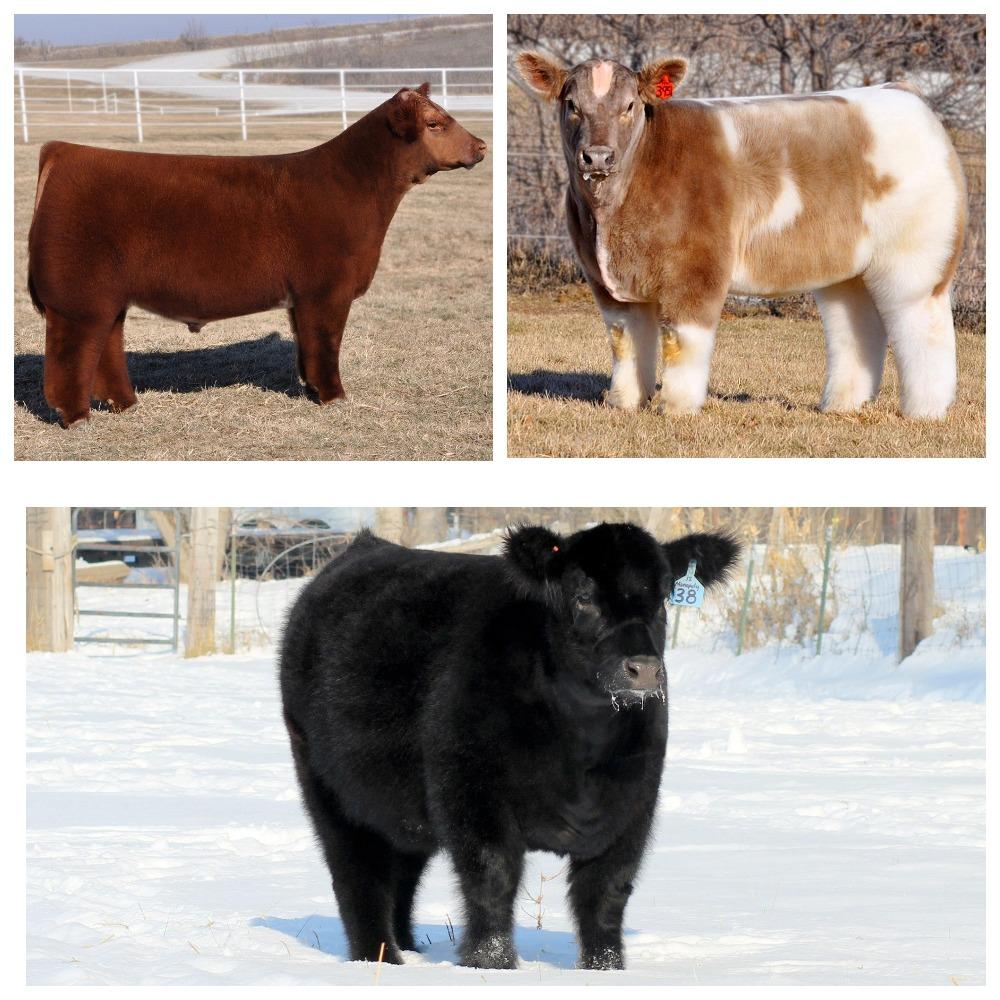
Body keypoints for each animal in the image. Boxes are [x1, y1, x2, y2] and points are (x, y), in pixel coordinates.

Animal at [27, 84, 486, 427]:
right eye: (434, 123)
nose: (482, 146)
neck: (352, 185)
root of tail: (64, 151)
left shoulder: (302, 299)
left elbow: (306, 348)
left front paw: (311, 391)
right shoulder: (325, 292)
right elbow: (325, 345)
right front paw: (335, 397)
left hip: (107, 298)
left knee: (106, 346)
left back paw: (126, 404)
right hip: (78, 298)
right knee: (70, 357)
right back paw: (77, 418)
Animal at [279, 522, 740, 970]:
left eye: (662, 600)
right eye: (583, 597)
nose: (642, 669)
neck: (581, 747)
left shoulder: (633, 809)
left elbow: (605, 894)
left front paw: (606, 969)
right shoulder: (473, 796)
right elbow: (492, 878)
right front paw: (491, 964)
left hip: (402, 806)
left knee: (403, 872)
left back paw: (408, 948)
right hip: (328, 787)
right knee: (359, 876)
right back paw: (380, 959)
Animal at [515, 52, 967, 420]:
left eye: (630, 106)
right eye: (571, 105)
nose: (598, 157)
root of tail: (903, 92)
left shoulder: (697, 269)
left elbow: (682, 342)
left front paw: (676, 408)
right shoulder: (605, 280)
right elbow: (625, 342)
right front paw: (625, 403)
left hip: (916, 261)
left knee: (922, 328)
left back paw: (925, 411)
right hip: (847, 267)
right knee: (855, 326)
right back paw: (841, 405)